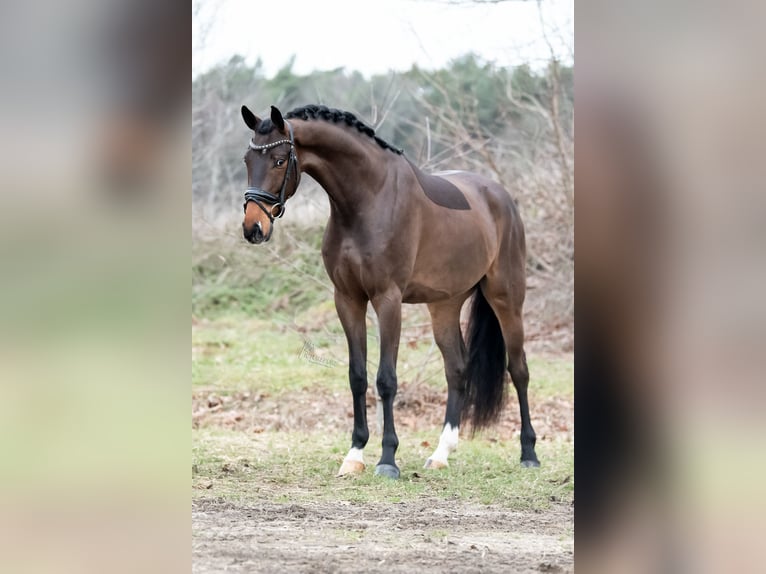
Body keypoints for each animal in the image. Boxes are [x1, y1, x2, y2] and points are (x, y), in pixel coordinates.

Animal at [240, 104, 539, 479]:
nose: (253, 228)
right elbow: (357, 376)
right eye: (247, 159)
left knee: (519, 369)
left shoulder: (388, 300)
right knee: (457, 369)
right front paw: (354, 454)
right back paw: (441, 454)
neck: (368, 200)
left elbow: (386, 379)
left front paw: (387, 459)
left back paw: (529, 452)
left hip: (507, 298)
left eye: (280, 160)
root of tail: (502, 197)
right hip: (444, 304)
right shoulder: (347, 299)